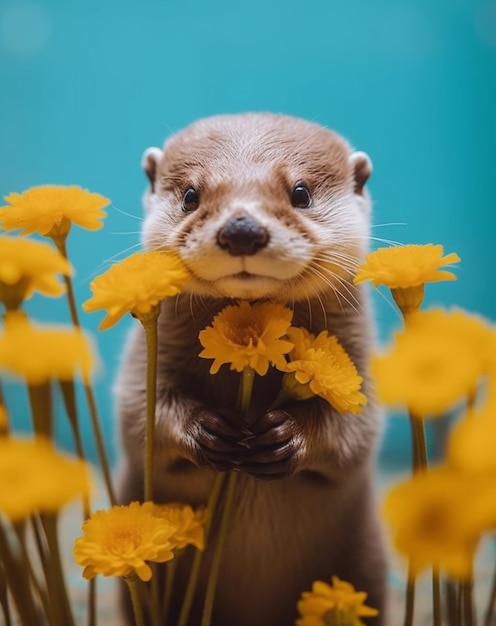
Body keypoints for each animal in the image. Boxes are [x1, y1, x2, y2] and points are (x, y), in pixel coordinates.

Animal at [117, 113, 388, 624]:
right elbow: (141, 419)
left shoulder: (361, 367)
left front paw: (287, 437)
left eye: (300, 192)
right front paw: (206, 431)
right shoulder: (143, 363)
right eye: (191, 195)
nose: (242, 228)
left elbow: (354, 435)